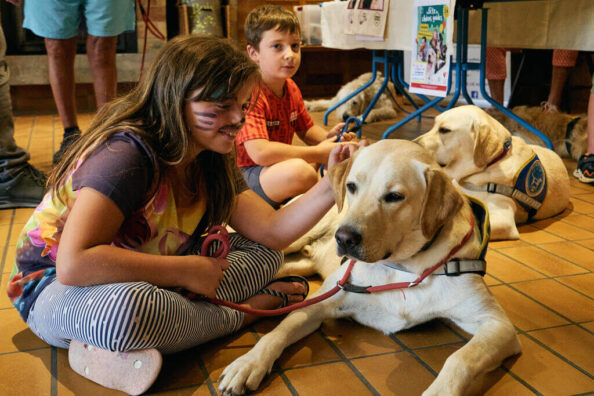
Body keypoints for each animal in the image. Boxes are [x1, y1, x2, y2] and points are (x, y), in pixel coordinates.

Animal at [217, 140, 520, 396]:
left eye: (395, 196)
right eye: (352, 186)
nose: (343, 238)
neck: (403, 268)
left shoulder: (497, 325)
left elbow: (460, 359)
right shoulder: (321, 301)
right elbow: (280, 330)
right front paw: (248, 363)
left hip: (296, 262)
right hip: (289, 238)